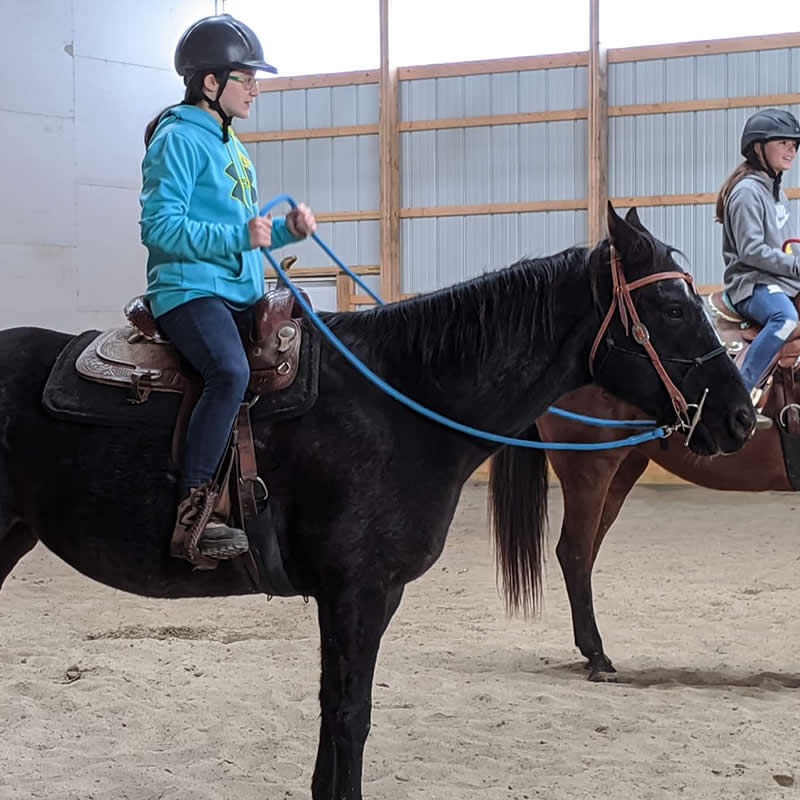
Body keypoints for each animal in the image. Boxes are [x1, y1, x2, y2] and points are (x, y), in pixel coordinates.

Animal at [0, 204, 754, 799]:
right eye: (674, 308)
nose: (741, 418)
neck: (398, 398)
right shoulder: (355, 592)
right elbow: (349, 717)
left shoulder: (372, 595)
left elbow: (338, 716)